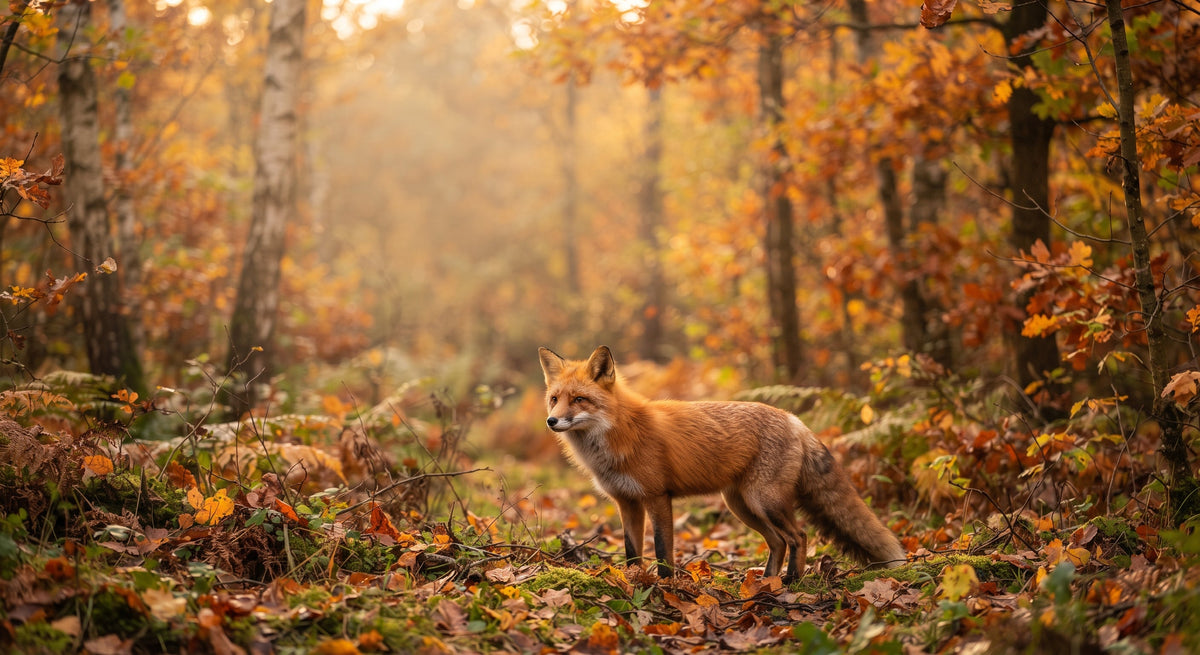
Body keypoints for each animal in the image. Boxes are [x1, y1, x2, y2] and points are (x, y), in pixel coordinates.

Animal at [538, 345, 905, 581]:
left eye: (579, 399)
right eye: (554, 399)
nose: (551, 422)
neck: (618, 434)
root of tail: (794, 418)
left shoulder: (657, 497)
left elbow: (662, 551)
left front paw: (665, 587)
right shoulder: (626, 502)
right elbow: (632, 551)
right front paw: (631, 580)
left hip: (765, 502)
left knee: (799, 536)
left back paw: (791, 582)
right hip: (741, 506)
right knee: (777, 542)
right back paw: (765, 582)